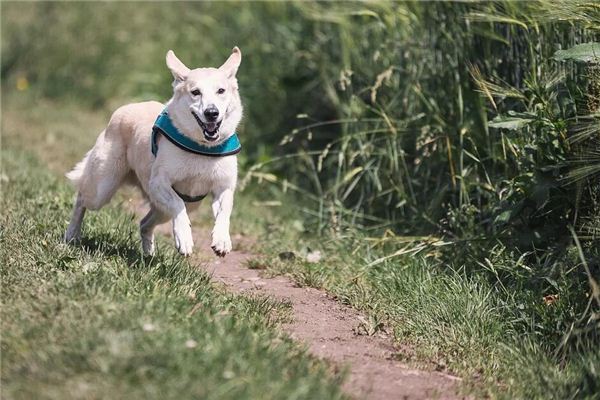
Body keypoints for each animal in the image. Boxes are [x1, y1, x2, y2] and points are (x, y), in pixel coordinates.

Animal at [64, 47, 243, 256]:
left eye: (221, 91)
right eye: (195, 92)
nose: (211, 113)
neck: (202, 148)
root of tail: (125, 108)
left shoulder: (224, 187)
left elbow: (224, 212)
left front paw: (222, 240)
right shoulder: (159, 183)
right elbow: (177, 204)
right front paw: (184, 239)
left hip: (178, 206)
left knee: (144, 223)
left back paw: (148, 254)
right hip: (102, 187)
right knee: (81, 199)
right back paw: (71, 235)